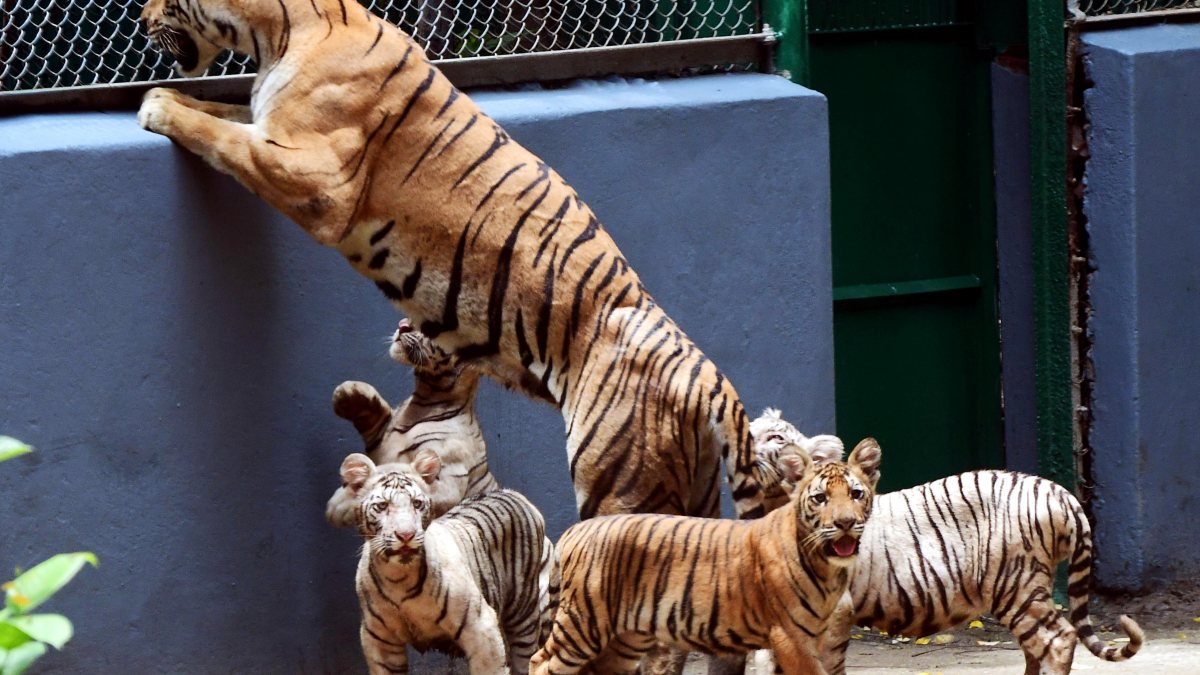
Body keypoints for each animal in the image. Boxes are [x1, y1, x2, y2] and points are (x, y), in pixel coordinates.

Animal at [326, 317, 499, 527]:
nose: (403, 325)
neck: (425, 398)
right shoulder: (381, 439)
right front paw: (348, 395)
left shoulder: (449, 480)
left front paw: (341, 505)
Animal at [343, 452, 558, 674]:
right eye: (382, 506)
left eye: (417, 504)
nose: (406, 535)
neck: (398, 577)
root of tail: (512, 493)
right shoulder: (379, 640)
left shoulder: (481, 627)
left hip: (523, 615)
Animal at [529, 437, 882, 675]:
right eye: (820, 498)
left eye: (856, 494)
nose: (845, 523)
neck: (826, 566)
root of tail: (576, 529)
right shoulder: (791, 637)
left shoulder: (814, 635)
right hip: (583, 623)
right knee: (541, 661)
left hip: (624, 639)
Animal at [751, 422, 1144, 675]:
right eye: (820, 498)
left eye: (773, 435)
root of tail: (1061, 492)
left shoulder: (833, 616)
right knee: (1037, 647)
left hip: (1015, 586)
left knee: (1058, 639)